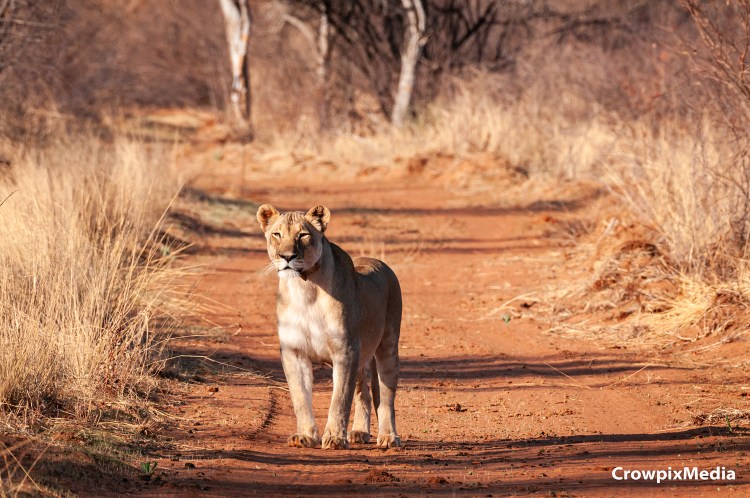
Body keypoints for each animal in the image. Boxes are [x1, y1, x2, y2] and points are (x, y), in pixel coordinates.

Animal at [256, 204, 402, 450]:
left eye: (303, 235)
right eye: (277, 234)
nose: (287, 257)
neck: (304, 289)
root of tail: (381, 263)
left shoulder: (345, 350)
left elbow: (339, 399)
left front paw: (334, 437)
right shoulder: (294, 351)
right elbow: (299, 397)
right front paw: (304, 435)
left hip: (387, 346)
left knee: (385, 395)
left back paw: (388, 436)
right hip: (362, 355)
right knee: (364, 393)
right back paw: (359, 431)